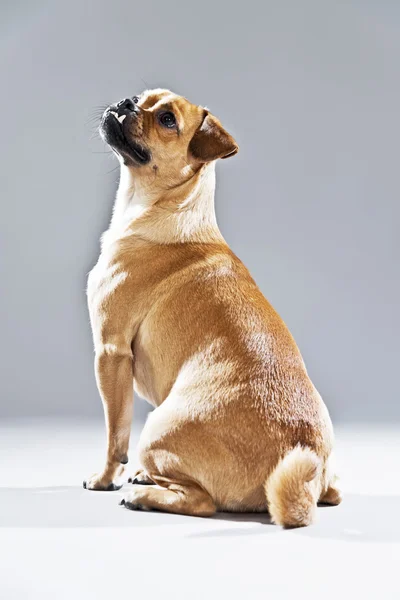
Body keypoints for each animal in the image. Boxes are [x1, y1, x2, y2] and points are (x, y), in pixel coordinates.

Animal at [83, 86, 340, 528]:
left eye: (167, 119)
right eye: (140, 98)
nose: (127, 102)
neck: (170, 209)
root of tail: (303, 463)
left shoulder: (110, 352)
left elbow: (115, 437)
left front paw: (104, 479)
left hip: (156, 428)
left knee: (200, 501)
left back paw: (142, 495)